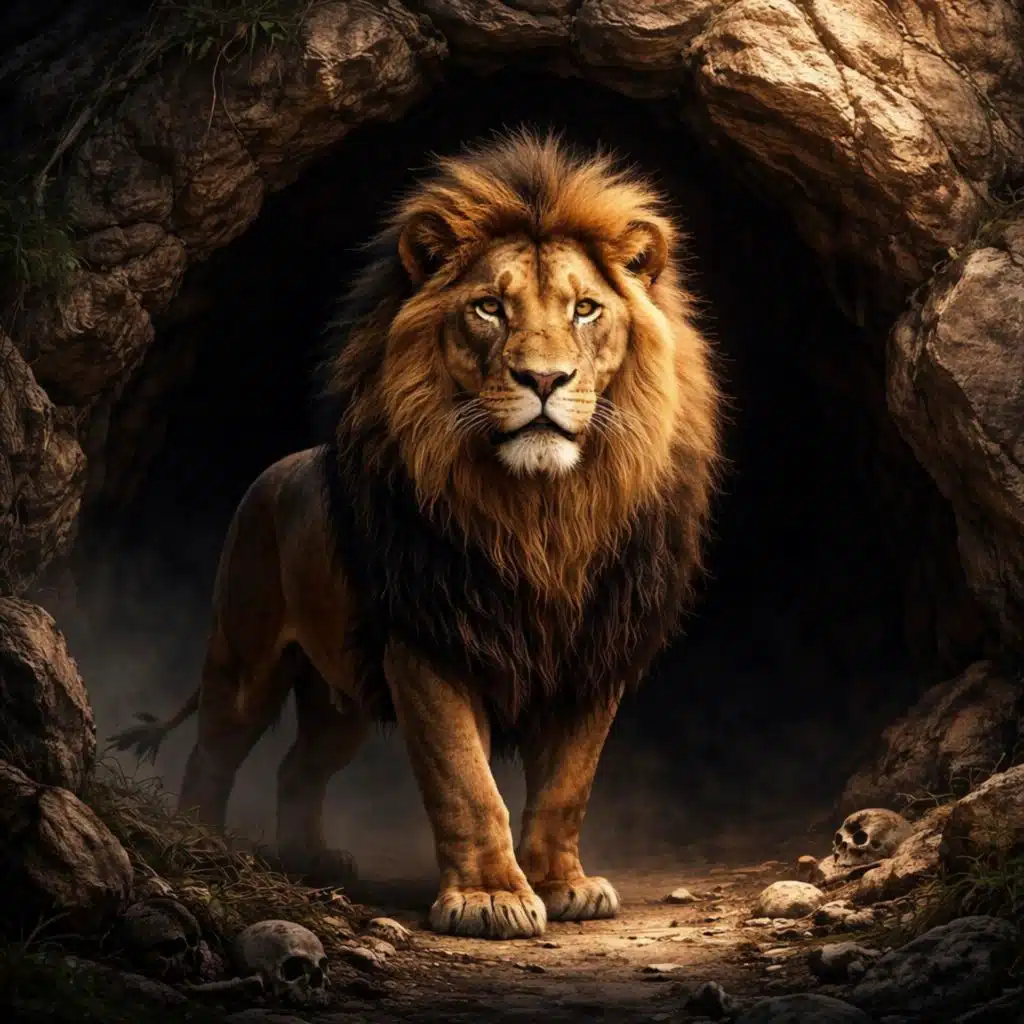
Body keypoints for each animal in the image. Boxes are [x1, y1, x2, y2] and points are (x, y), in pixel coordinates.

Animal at [111, 131, 722, 939]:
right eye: (489, 308)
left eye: (586, 309)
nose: (545, 380)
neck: (544, 513)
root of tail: (275, 468)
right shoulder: (428, 641)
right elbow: (466, 782)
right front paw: (491, 898)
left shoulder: (596, 655)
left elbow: (568, 785)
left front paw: (564, 884)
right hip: (246, 660)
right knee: (213, 753)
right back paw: (204, 842)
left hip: (339, 693)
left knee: (298, 766)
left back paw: (311, 858)